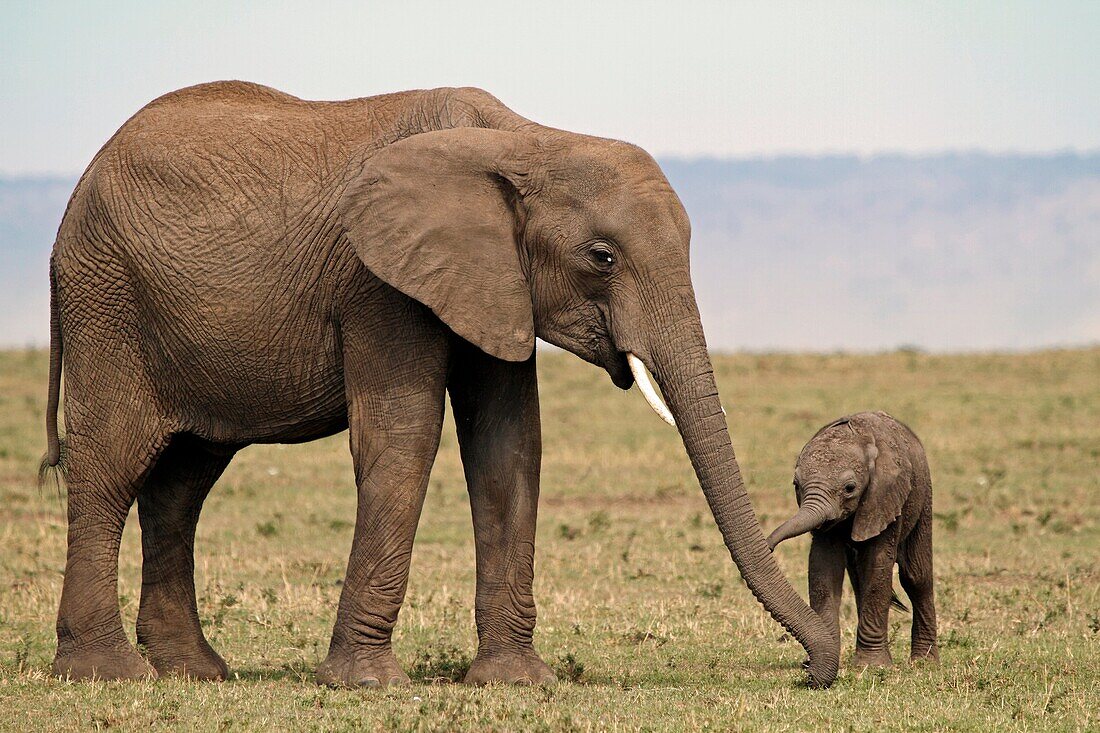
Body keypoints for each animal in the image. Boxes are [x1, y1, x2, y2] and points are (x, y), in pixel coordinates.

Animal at [40, 84, 831, 686]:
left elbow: (509, 445)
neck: (523, 141)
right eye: (602, 257)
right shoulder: (378, 280)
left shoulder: (493, 279)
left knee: (183, 482)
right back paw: (108, 673)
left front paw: (515, 682)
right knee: (111, 466)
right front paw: (367, 685)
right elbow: (404, 437)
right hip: (107, 300)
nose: (816, 670)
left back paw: (195, 671)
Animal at [765, 407, 937, 664]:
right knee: (859, 578)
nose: (768, 545)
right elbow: (824, 566)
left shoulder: (884, 495)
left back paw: (924, 663)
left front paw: (872, 665)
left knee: (916, 576)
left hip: (923, 494)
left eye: (849, 488)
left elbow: (878, 564)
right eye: (796, 484)